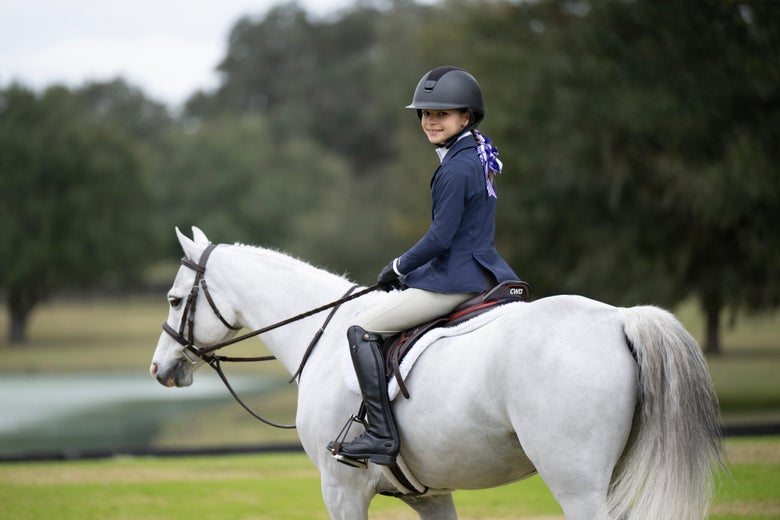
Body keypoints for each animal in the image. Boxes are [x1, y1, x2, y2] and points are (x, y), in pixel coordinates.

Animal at [150, 227, 723, 520]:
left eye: (175, 299)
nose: (160, 368)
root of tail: (619, 318)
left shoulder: (341, 490)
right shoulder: (430, 494)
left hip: (578, 484)